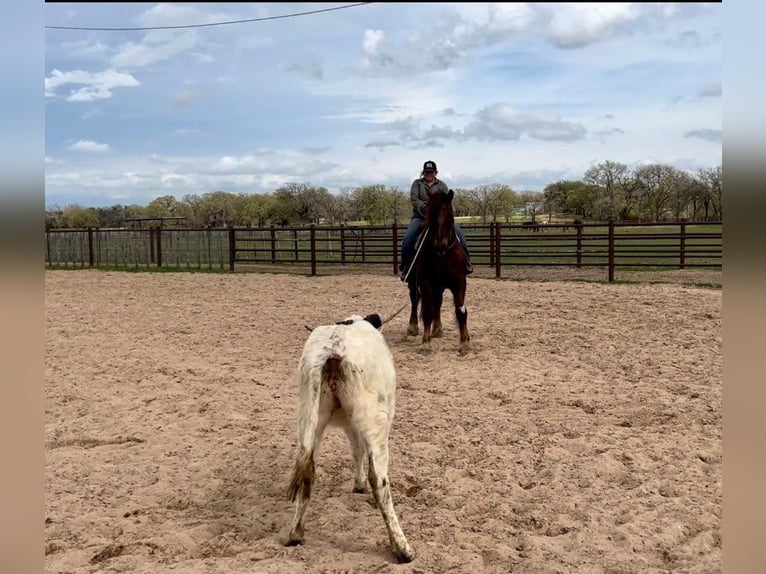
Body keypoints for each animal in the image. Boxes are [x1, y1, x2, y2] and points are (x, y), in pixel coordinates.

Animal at [284, 308, 414, 564]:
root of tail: (334, 353)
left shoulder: (350, 425)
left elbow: (356, 449)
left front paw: (357, 484)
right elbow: (360, 452)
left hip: (309, 421)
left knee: (308, 470)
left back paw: (296, 533)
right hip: (375, 422)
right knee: (380, 481)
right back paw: (402, 548)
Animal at [404, 190, 472, 356]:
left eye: (450, 217)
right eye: (432, 218)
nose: (440, 246)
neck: (444, 257)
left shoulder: (460, 282)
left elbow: (461, 311)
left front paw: (464, 343)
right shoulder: (426, 283)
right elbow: (427, 312)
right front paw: (426, 344)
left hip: (439, 287)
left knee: (438, 302)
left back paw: (437, 329)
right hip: (414, 282)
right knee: (414, 300)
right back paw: (413, 327)